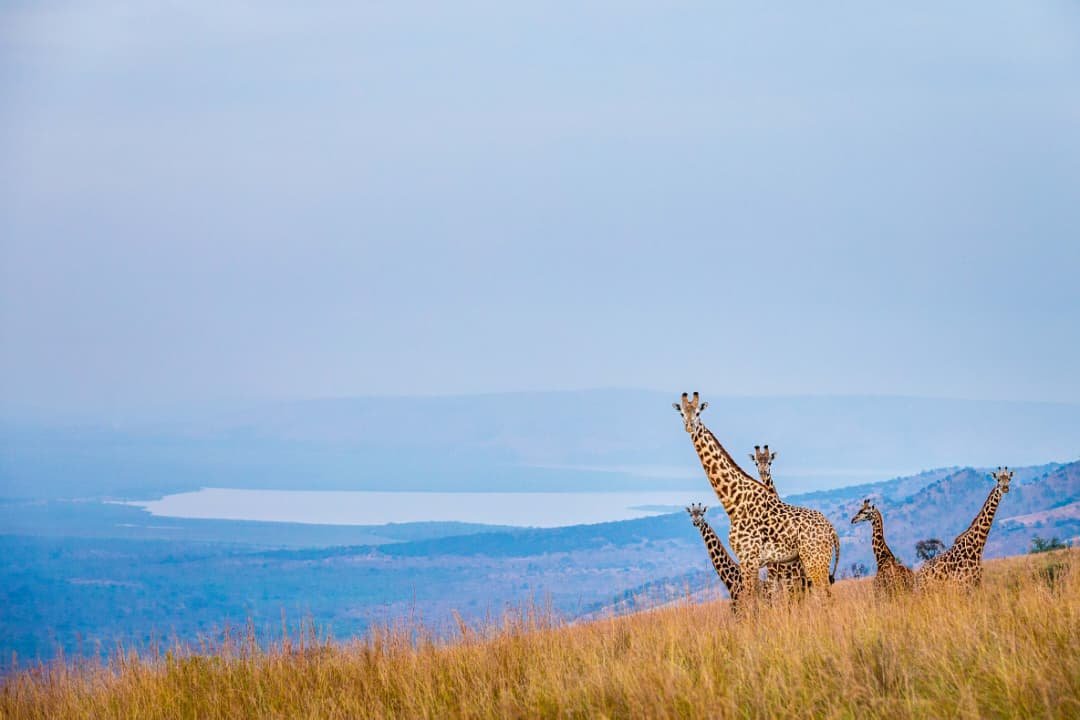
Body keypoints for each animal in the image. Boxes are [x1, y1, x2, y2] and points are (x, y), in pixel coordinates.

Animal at [673, 392, 840, 597]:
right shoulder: (755, 564)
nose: (689, 426)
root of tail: (832, 530)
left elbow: (751, 600)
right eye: (682, 413)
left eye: (698, 412)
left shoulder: (749, 560)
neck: (734, 502)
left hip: (814, 561)